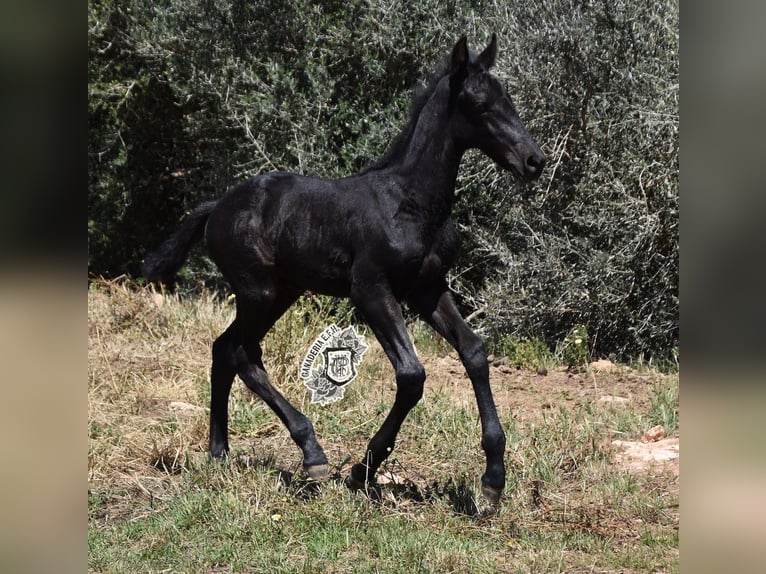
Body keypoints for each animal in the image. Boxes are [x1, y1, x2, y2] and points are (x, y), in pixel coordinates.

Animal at [144, 35, 548, 504]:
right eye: (480, 105)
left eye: (508, 99)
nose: (534, 161)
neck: (409, 202)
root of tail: (216, 208)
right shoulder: (370, 290)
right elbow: (412, 375)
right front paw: (362, 469)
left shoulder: (428, 288)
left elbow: (475, 352)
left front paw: (493, 478)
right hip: (257, 291)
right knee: (239, 352)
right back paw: (310, 453)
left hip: (282, 292)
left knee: (226, 349)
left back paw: (220, 452)